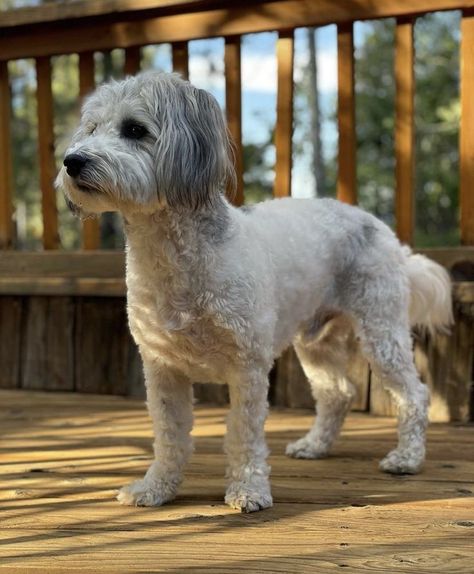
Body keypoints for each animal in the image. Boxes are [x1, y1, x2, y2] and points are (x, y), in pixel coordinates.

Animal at [57, 71, 454, 512]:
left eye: (134, 130)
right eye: (92, 128)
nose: (72, 161)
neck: (176, 261)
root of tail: (388, 235)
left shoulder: (246, 366)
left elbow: (243, 433)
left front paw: (248, 490)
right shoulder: (161, 367)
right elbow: (169, 434)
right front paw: (155, 487)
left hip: (381, 329)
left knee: (414, 394)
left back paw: (406, 459)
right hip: (316, 343)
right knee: (337, 393)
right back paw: (314, 445)